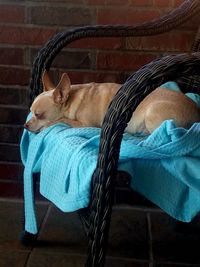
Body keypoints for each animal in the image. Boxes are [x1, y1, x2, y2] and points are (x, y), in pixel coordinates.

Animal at [25, 71, 200, 134]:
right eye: (30, 112)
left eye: (38, 115)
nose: (25, 125)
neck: (72, 99)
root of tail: (196, 114)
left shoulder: (88, 125)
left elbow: (62, 120)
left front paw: (49, 124)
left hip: (152, 113)